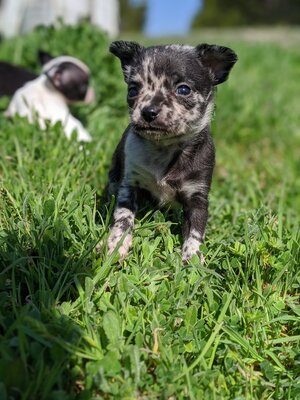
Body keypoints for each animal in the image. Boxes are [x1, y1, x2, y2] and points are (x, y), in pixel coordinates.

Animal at [105, 40, 237, 262]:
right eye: (133, 90)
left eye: (183, 90)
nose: (148, 111)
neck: (165, 148)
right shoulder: (129, 185)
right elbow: (123, 218)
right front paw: (116, 244)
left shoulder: (197, 198)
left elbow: (195, 232)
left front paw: (192, 259)